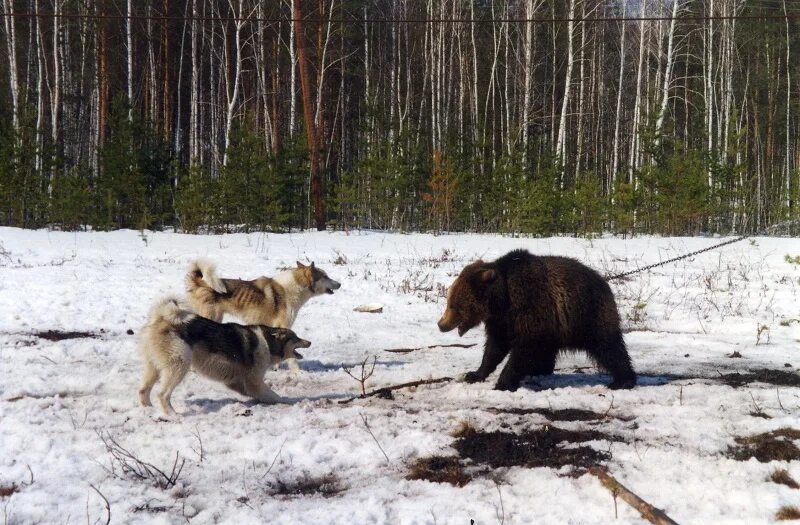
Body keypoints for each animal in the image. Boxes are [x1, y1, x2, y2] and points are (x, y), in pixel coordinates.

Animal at [139, 296, 310, 416]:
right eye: (296, 338)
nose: (309, 342)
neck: (267, 342)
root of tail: (162, 318)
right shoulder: (254, 382)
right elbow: (273, 395)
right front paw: (286, 401)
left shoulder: (235, 381)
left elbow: (253, 392)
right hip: (179, 365)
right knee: (162, 395)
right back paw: (173, 415)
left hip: (153, 368)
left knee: (143, 390)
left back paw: (148, 410)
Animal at [438, 249, 636, 388]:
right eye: (449, 301)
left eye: (454, 305)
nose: (441, 324)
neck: (503, 300)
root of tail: (604, 282)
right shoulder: (501, 322)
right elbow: (494, 348)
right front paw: (474, 374)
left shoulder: (529, 308)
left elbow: (523, 349)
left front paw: (503, 382)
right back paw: (540, 370)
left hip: (589, 314)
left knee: (608, 346)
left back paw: (622, 381)